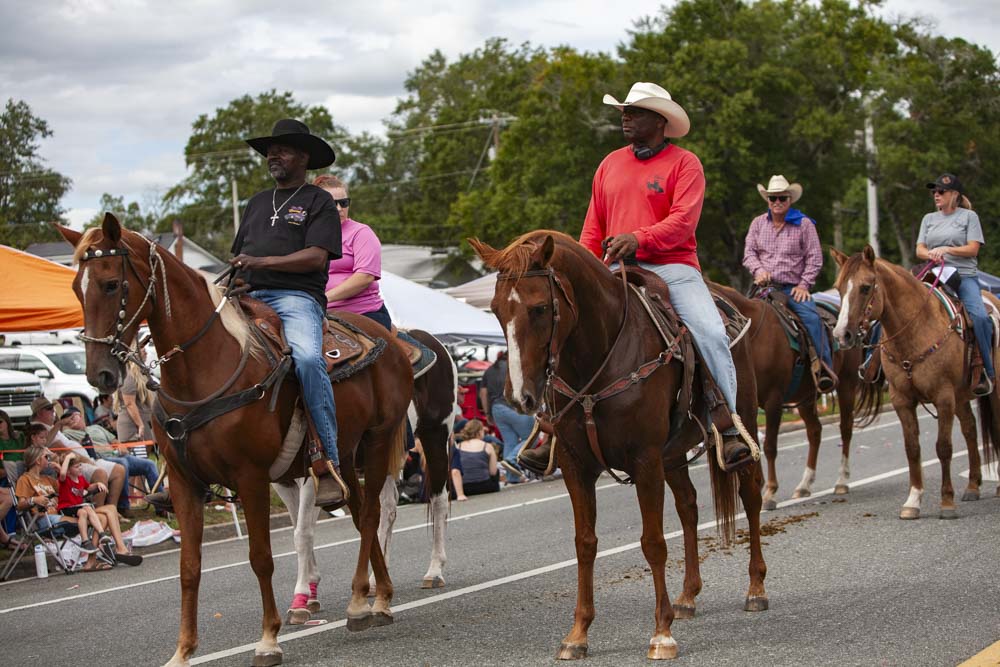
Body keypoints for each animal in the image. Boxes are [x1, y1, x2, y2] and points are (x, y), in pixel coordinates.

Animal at [59, 214, 413, 667]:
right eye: (75, 288)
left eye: (110, 284)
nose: (99, 374)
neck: (204, 369)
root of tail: (390, 339)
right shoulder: (184, 482)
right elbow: (189, 567)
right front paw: (183, 650)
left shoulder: (251, 477)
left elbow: (261, 557)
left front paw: (268, 639)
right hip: (343, 452)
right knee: (355, 508)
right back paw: (376, 596)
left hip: (379, 439)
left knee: (369, 515)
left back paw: (363, 602)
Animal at [276, 329, 458, 625]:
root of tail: (433, 341)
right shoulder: (282, 481)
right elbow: (300, 528)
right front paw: (310, 592)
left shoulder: (317, 473)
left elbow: (302, 532)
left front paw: (301, 597)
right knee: (388, 508)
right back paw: (375, 581)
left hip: (435, 434)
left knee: (438, 500)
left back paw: (434, 571)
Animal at [470, 231, 767, 661]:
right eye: (495, 310)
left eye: (540, 308)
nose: (519, 397)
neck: (599, 358)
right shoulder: (576, 466)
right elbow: (585, 544)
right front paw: (577, 634)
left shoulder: (644, 460)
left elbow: (653, 542)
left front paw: (661, 634)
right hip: (673, 456)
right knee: (689, 508)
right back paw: (688, 596)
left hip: (741, 427)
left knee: (751, 496)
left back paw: (756, 588)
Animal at [711, 283, 870, 509]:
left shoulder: (774, 400)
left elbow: (769, 446)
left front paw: (770, 492)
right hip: (805, 397)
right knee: (814, 431)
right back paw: (804, 485)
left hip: (847, 385)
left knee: (845, 429)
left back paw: (841, 481)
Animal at [831, 245, 1000, 519]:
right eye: (838, 288)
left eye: (866, 287)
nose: (841, 335)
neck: (915, 331)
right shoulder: (902, 400)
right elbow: (912, 449)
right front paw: (912, 501)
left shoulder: (943, 398)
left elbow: (943, 447)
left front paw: (947, 503)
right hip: (962, 397)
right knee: (970, 430)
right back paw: (973, 486)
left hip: (992, 391)